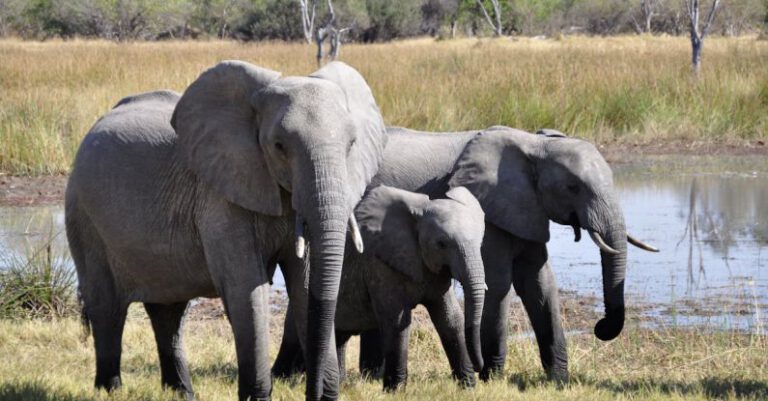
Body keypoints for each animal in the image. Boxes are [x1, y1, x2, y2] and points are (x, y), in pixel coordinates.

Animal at [65, 60, 388, 400]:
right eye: (279, 147)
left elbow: (305, 284)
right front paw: (257, 398)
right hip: (84, 216)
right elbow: (246, 288)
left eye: (351, 145)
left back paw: (182, 393)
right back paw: (109, 390)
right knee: (107, 308)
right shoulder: (219, 195)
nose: (313, 393)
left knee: (169, 312)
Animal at [272, 125, 656, 382]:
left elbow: (539, 284)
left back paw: (365, 376)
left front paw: (558, 381)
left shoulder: (526, 209)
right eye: (573, 187)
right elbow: (499, 284)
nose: (601, 328)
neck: (535, 144)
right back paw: (291, 377)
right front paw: (492, 377)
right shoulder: (492, 209)